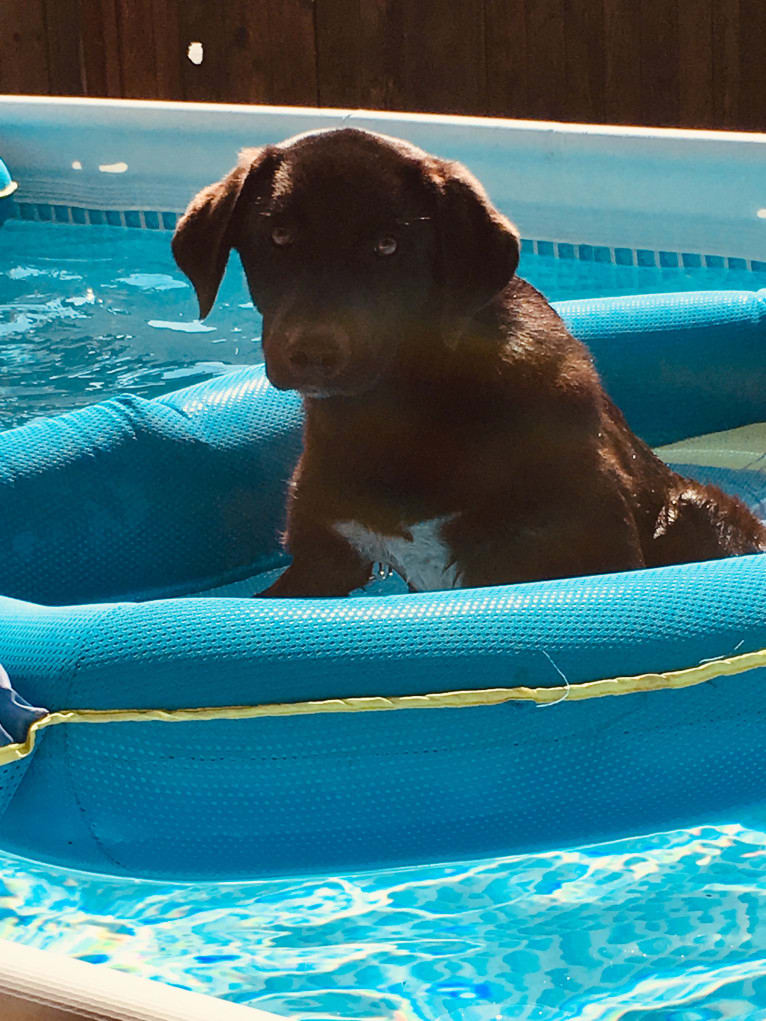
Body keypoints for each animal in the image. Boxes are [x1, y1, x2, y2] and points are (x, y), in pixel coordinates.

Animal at [173, 125, 766, 596]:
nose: (312, 353)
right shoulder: (325, 554)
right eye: (279, 234)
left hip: (697, 509)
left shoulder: (587, 546)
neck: (399, 413)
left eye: (387, 245)